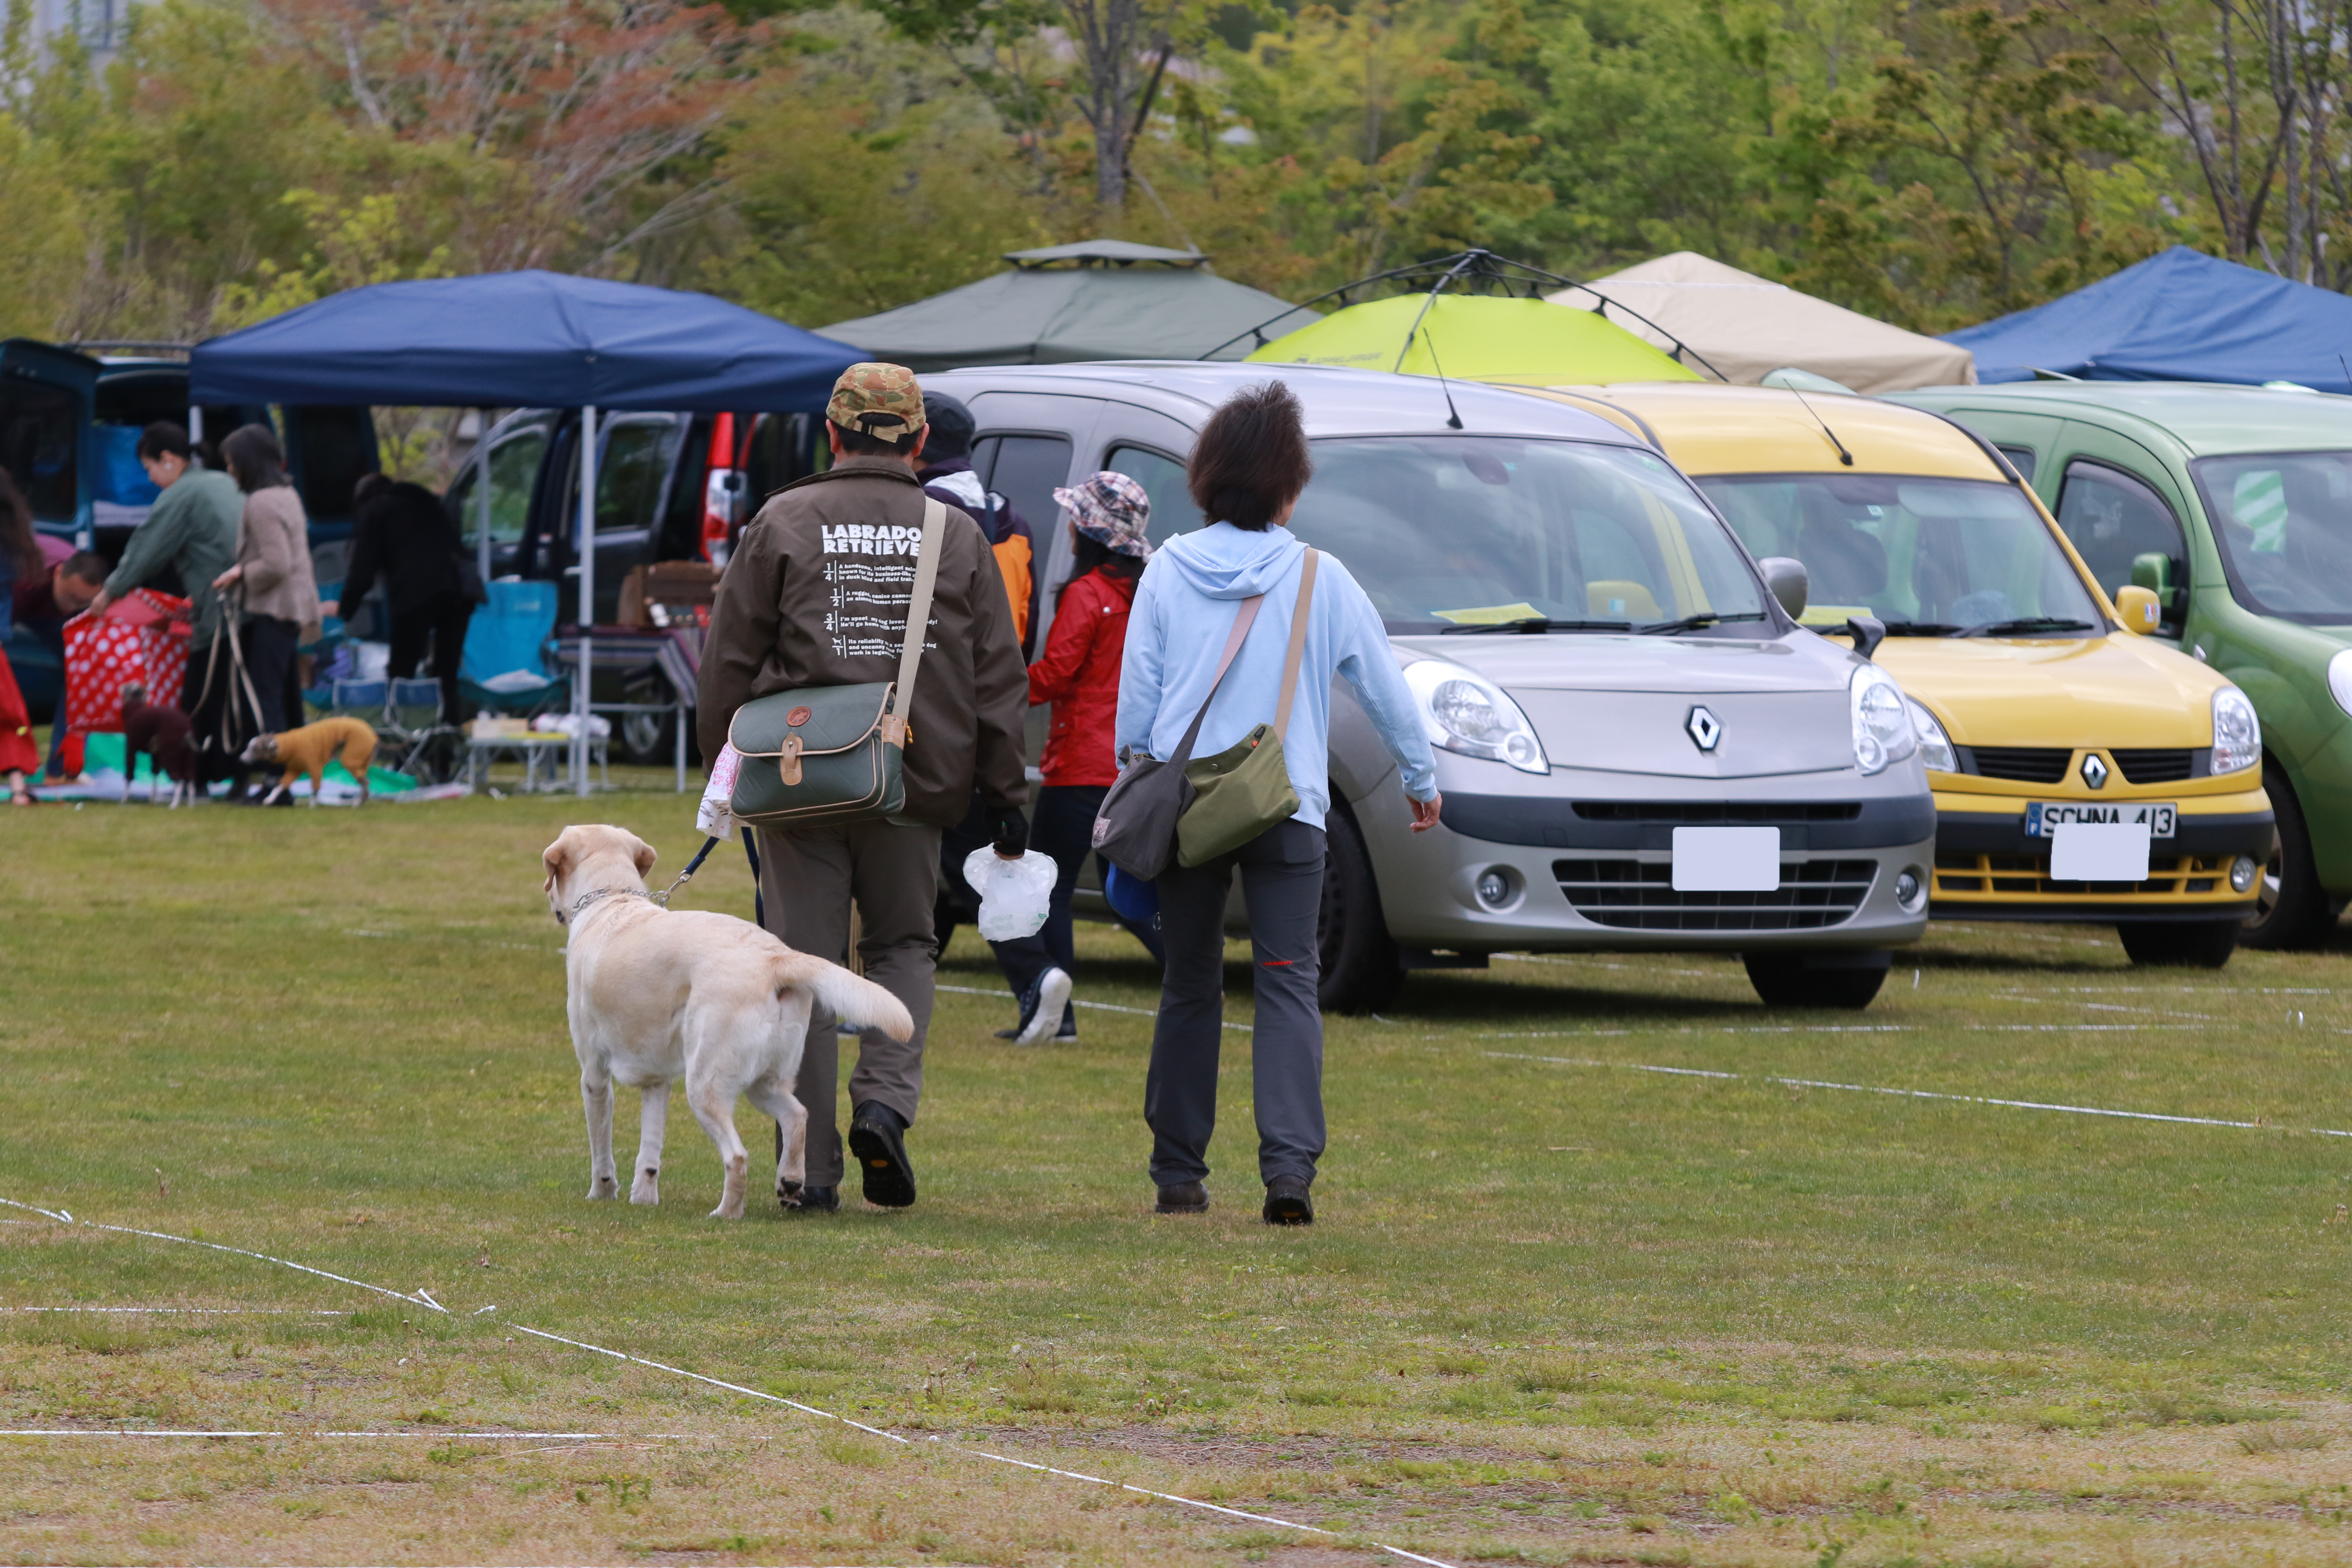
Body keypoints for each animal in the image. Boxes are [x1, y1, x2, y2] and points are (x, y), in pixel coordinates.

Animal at [241, 719, 378, 804]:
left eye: (254, 749)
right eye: (248, 746)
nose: (241, 759)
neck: (289, 746)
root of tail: (373, 734)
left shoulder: (315, 767)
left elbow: (315, 788)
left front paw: (313, 804)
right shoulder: (294, 770)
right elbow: (280, 786)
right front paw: (270, 799)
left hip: (351, 758)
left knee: (365, 783)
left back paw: (358, 803)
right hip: (361, 760)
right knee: (365, 783)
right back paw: (360, 801)